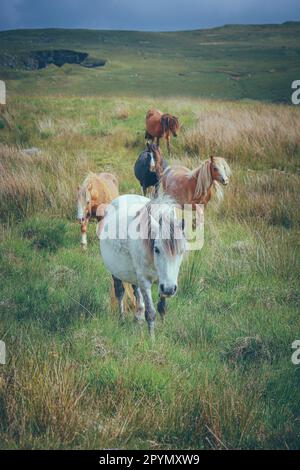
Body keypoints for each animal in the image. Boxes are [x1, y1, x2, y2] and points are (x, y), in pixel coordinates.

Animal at [99, 195, 186, 338]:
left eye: (182, 251)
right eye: (156, 249)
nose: (169, 289)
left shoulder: (163, 281)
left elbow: (162, 307)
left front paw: (163, 327)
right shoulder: (145, 281)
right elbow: (150, 313)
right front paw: (152, 339)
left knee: (136, 293)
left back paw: (137, 318)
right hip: (116, 272)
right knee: (120, 293)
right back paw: (122, 319)